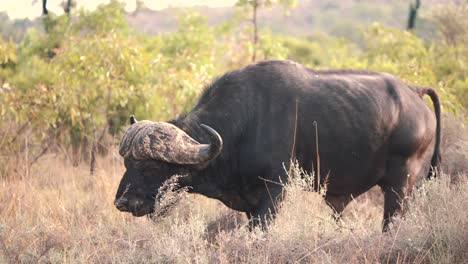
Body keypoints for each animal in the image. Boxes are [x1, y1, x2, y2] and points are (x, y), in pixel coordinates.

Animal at [113, 59, 438, 231]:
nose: (122, 203)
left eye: (151, 166)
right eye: (127, 163)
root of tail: (414, 93)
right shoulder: (248, 200)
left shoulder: (275, 191)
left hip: (401, 184)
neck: (245, 124)